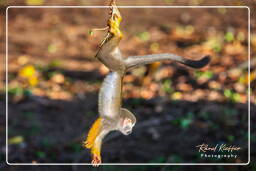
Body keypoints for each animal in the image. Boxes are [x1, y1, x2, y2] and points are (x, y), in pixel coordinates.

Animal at [83, 0, 211, 166]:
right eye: (130, 126)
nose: (130, 131)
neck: (118, 123)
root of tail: (124, 67)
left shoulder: (110, 125)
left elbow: (99, 132)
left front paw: (96, 155)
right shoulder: (111, 122)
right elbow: (100, 125)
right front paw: (91, 145)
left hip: (116, 61)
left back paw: (117, 26)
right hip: (114, 62)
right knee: (102, 54)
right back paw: (118, 32)